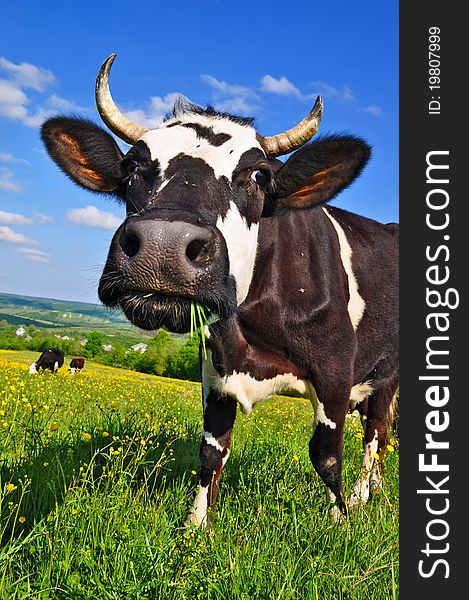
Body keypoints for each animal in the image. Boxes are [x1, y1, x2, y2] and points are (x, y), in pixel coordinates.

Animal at [41, 55, 398, 524]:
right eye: (133, 166)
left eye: (259, 175)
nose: (163, 246)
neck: (251, 333)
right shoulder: (215, 369)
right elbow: (211, 453)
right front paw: (196, 525)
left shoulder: (336, 371)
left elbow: (326, 455)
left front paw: (340, 522)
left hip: (386, 373)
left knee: (376, 434)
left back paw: (361, 496)